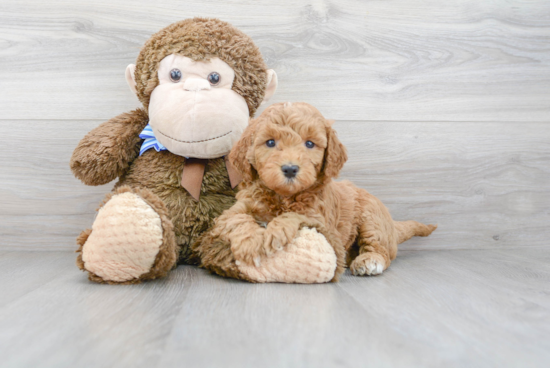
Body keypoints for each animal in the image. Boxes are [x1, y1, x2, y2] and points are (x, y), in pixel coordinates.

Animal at [196, 102, 438, 280]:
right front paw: (249, 244)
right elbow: (238, 219)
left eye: (310, 144)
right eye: (270, 142)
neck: (283, 196)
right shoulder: (235, 209)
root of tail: (391, 225)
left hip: (372, 218)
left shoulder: (319, 218)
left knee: (382, 249)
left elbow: (292, 215)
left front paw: (273, 232)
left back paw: (370, 261)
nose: (290, 168)